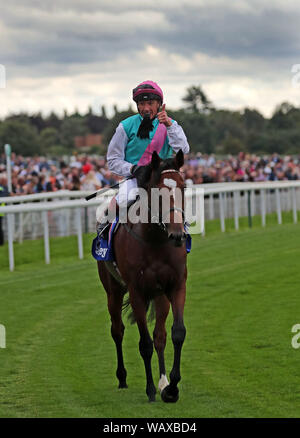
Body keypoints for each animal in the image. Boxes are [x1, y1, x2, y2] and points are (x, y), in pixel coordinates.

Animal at [97, 151, 188, 404]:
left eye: (183, 187)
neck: (155, 240)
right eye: (157, 190)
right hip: (113, 291)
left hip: (159, 295)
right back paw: (122, 378)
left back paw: (163, 381)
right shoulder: (136, 291)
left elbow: (176, 333)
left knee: (160, 336)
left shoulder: (176, 286)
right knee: (117, 330)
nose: (177, 235)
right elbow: (144, 344)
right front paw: (149, 390)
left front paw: (171, 387)